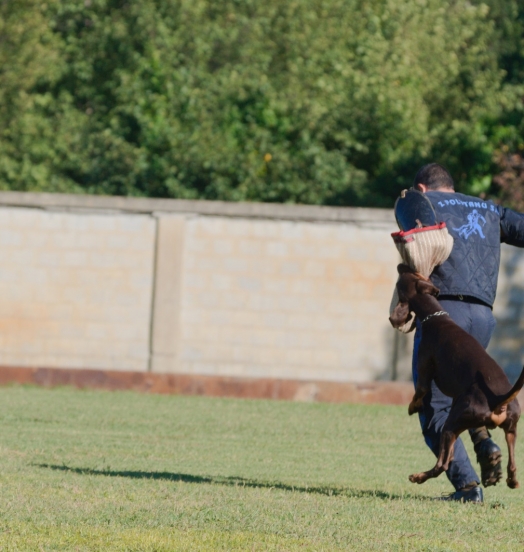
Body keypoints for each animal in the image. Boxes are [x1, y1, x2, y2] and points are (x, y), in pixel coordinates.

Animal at [388, 264, 524, 488]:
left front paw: (412, 407)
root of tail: (498, 400)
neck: (436, 316)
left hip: (452, 423)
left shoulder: (423, 367)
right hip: (510, 428)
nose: (401, 265)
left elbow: (420, 392)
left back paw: (418, 476)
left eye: (407, 275)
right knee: (512, 465)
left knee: (443, 463)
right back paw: (510, 480)